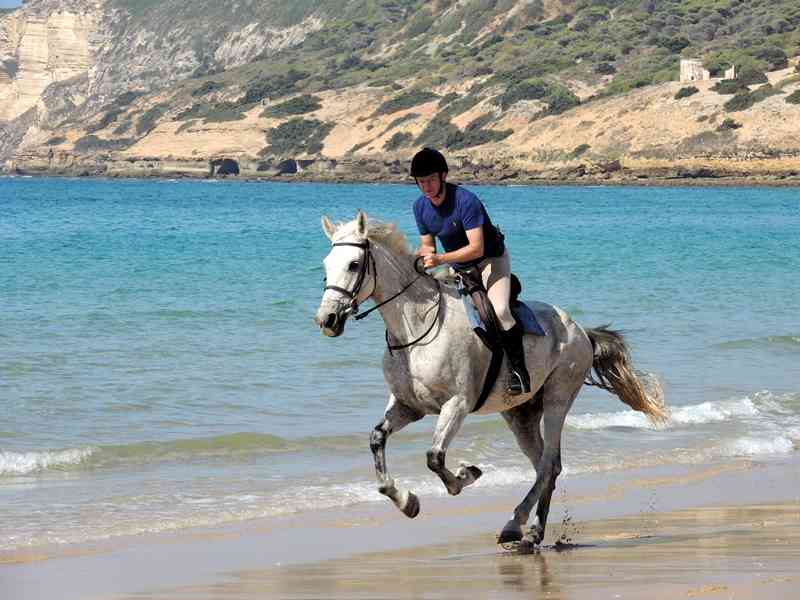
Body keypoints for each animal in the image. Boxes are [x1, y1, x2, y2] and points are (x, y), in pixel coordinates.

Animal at [314, 210, 668, 549]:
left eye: (354, 264)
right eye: (326, 266)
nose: (326, 320)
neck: (416, 328)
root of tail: (581, 330)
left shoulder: (457, 404)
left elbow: (434, 457)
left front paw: (465, 475)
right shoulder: (408, 407)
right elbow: (377, 440)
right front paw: (407, 502)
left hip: (558, 398)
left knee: (547, 463)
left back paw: (521, 527)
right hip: (520, 414)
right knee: (546, 465)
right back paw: (527, 530)